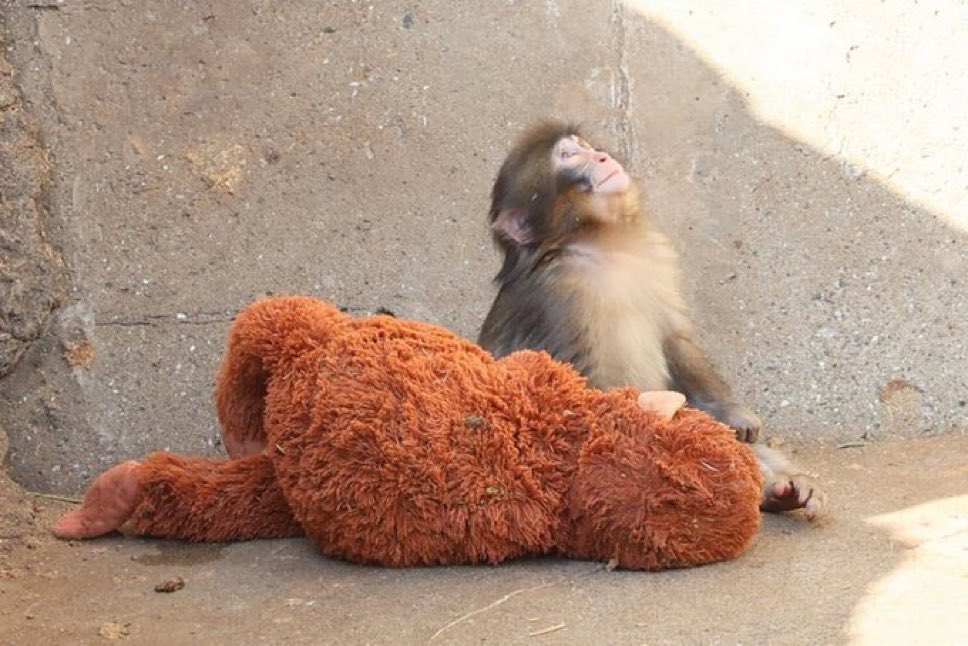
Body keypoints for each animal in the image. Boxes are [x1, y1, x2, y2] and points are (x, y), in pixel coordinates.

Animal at [477, 122, 826, 520]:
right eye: (568, 156)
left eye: (583, 146)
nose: (602, 157)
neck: (602, 243)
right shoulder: (560, 296)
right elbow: (583, 388)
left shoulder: (654, 255)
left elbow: (677, 340)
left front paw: (732, 413)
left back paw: (782, 490)